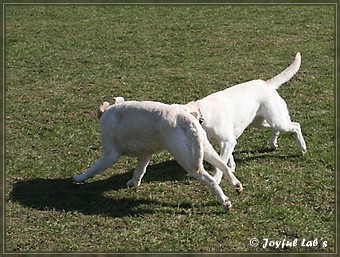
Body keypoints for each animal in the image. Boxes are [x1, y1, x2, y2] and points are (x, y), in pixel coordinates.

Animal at [73, 97, 244, 208]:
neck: (109, 111)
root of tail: (187, 120)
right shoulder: (145, 155)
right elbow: (139, 170)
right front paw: (134, 183)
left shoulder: (110, 155)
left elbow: (92, 170)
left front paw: (79, 178)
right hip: (204, 150)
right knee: (224, 166)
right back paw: (236, 185)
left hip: (188, 161)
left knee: (211, 180)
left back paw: (225, 201)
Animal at [177, 52, 306, 184]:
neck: (204, 114)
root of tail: (266, 83)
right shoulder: (228, 142)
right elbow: (227, 159)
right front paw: (232, 167)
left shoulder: (228, 141)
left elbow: (221, 164)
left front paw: (217, 180)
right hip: (261, 122)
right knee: (275, 129)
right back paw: (273, 144)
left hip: (278, 121)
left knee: (296, 126)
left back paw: (302, 147)